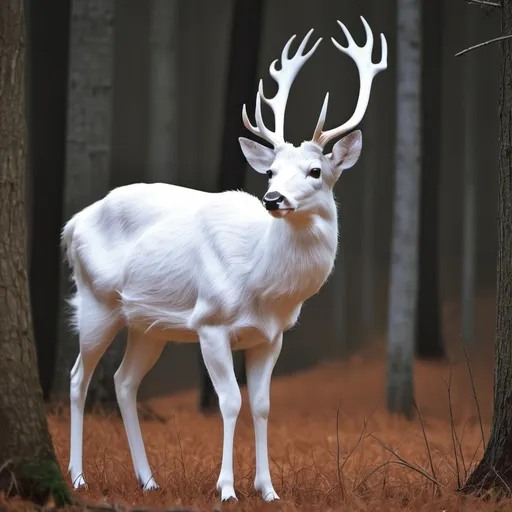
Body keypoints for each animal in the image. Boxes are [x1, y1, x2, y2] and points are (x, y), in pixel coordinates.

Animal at [62, 17, 386, 504]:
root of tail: (72, 224)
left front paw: (268, 489)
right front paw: (227, 488)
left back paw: (149, 480)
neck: (263, 284)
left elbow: (263, 405)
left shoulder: (272, 336)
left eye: (315, 171)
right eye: (270, 172)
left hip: (148, 324)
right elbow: (230, 401)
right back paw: (79, 477)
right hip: (95, 301)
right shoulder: (210, 322)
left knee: (123, 381)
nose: (273, 198)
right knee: (79, 377)